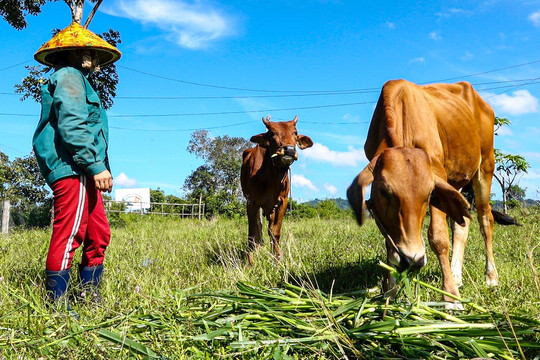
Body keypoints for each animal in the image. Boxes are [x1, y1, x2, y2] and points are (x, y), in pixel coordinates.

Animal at [243, 115, 314, 264]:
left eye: (295, 132)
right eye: (272, 133)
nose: (289, 150)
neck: (271, 175)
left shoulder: (282, 202)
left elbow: (275, 232)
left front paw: (277, 258)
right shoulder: (251, 202)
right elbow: (252, 232)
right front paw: (250, 261)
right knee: (258, 227)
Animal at [348, 79, 496, 304]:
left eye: (428, 194)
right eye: (383, 191)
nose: (413, 259)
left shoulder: (438, 173)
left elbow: (439, 237)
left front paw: (451, 297)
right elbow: (389, 243)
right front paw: (390, 291)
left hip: (486, 165)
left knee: (485, 218)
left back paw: (490, 277)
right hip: (457, 181)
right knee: (462, 223)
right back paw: (457, 275)